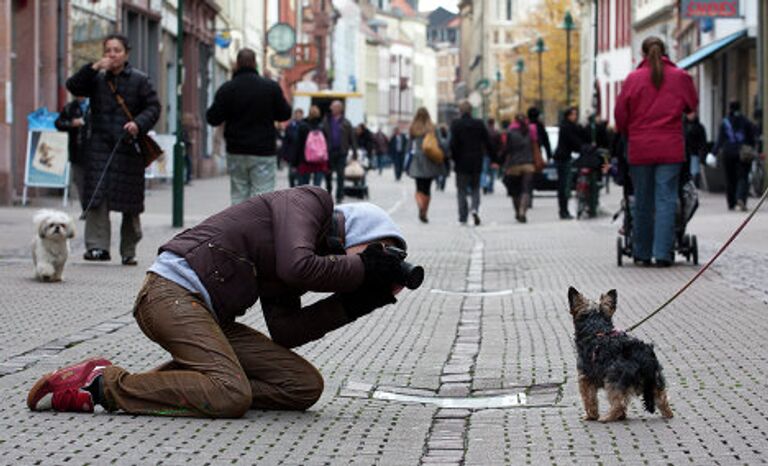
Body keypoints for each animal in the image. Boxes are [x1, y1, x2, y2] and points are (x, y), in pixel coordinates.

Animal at [568, 288, 672, 422]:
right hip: (656, 378)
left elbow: (589, 399)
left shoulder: (585, 377)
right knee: (663, 399)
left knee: (619, 403)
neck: (596, 329)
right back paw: (668, 414)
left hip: (613, 380)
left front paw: (591, 416)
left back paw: (607, 417)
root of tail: (642, 352)